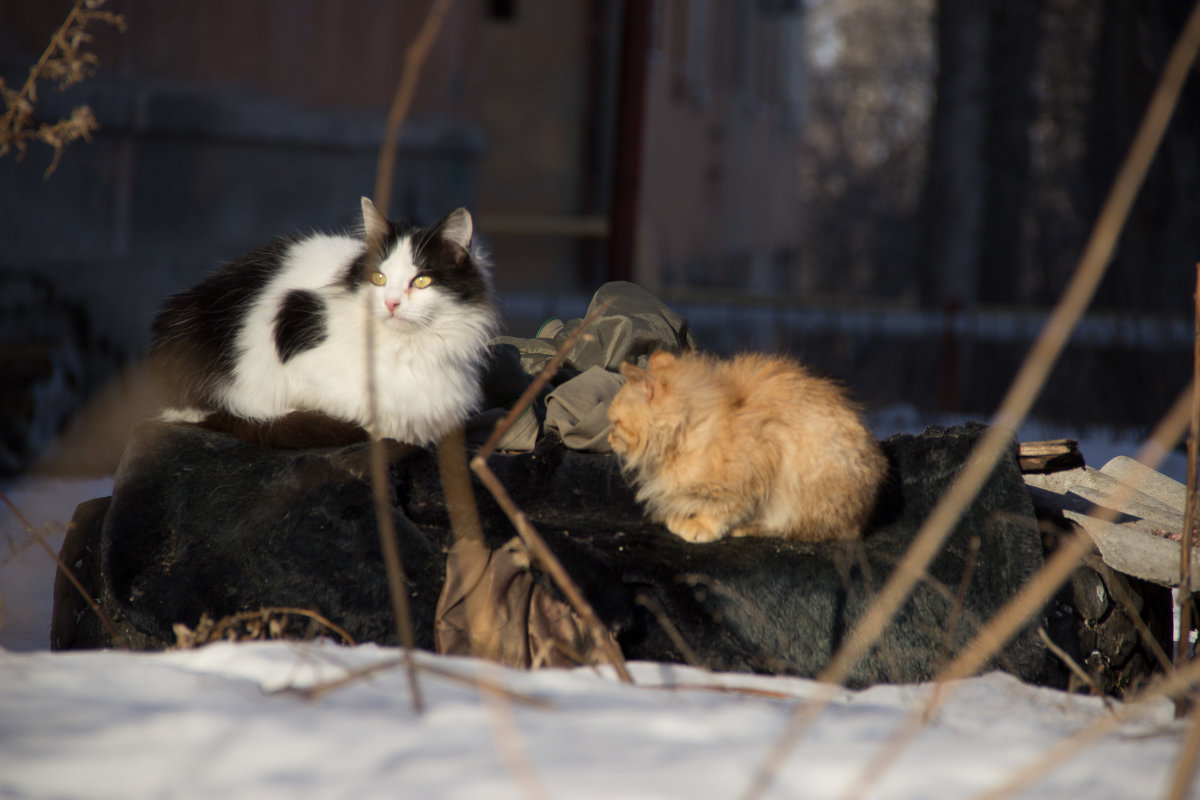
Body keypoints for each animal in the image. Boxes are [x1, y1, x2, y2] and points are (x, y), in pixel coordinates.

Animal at [148, 196, 496, 448]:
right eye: (379, 278)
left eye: (421, 281)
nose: (391, 302)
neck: (407, 348)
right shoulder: (296, 368)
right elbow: (358, 408)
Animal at [609, 352, 883, 544]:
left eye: (614, 423)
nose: (609, 438)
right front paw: (681, 517)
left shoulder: (756, 466)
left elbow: (721, 509)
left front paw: (699, 526)